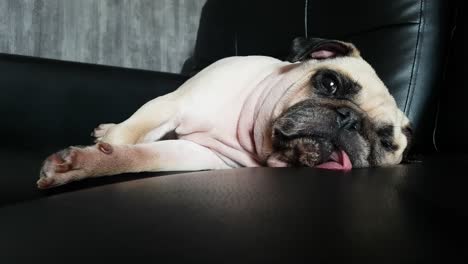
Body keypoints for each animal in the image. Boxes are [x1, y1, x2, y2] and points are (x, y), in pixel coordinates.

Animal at [36, 38, 412, 189]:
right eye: (330, 83)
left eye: (384, 142)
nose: (349, 119)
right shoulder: (170, 104)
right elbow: (125, 138)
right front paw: (95, 154)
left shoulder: (196, 154)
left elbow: (138, 156)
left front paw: (92, 162)